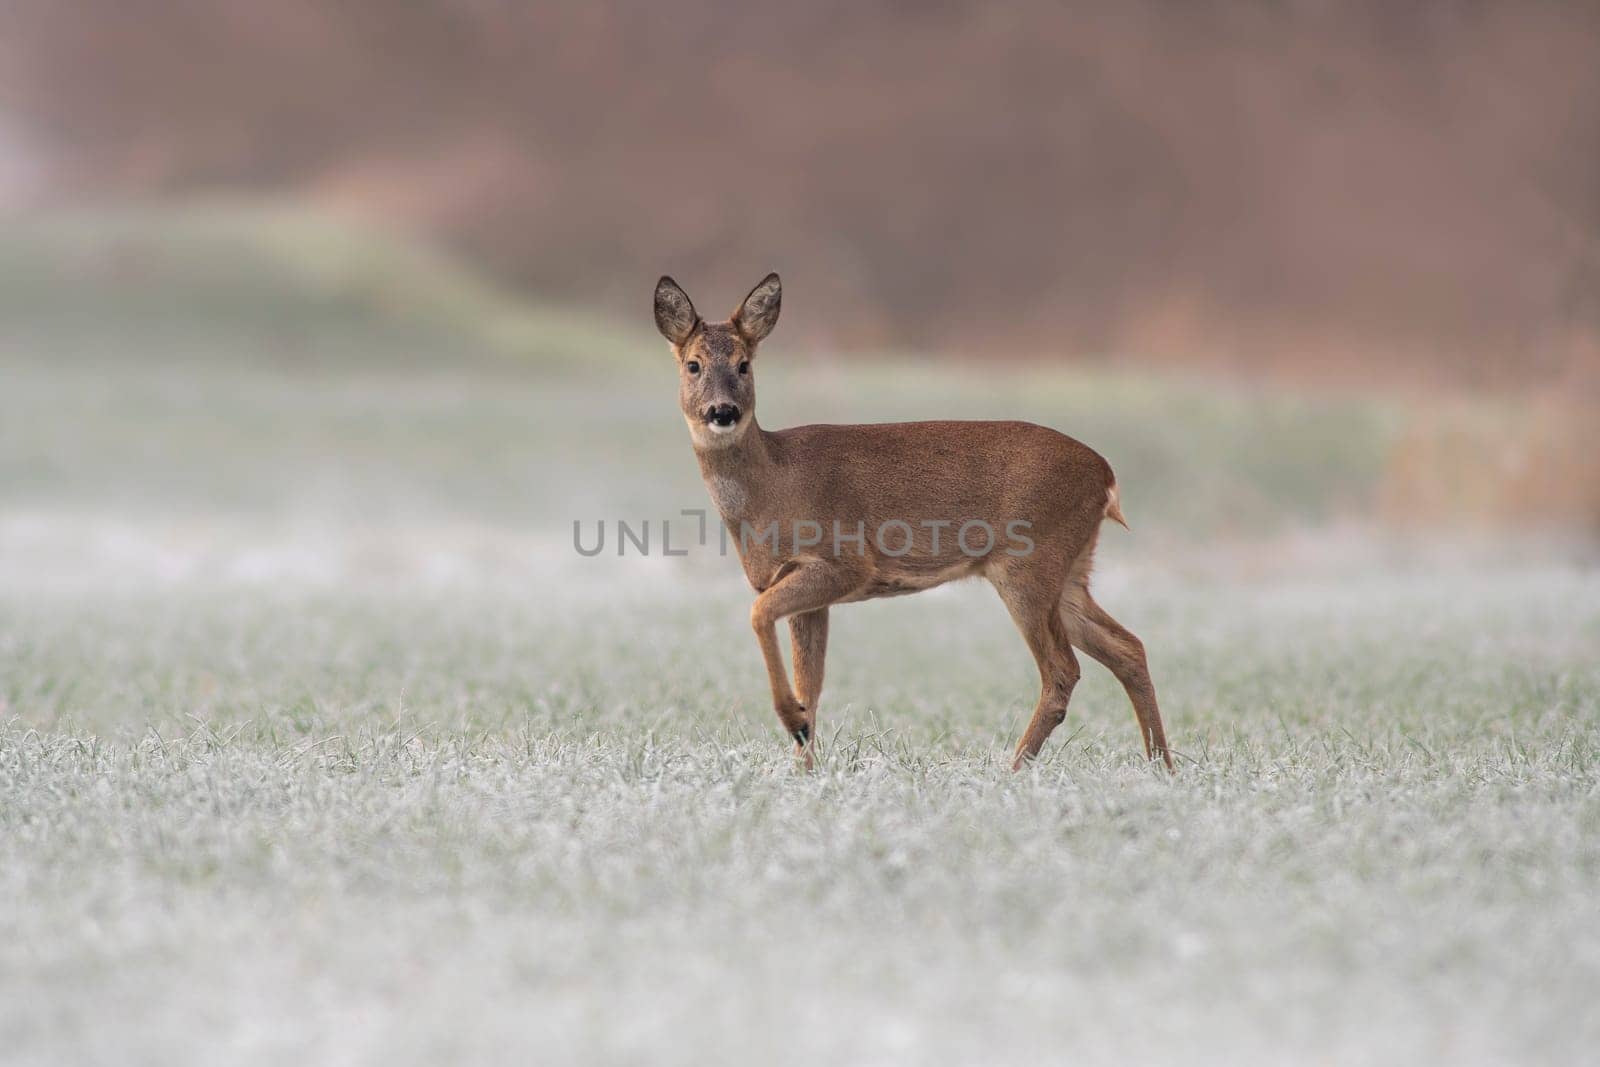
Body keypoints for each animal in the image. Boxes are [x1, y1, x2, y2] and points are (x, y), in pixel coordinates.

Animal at [652, 271, 1177, 771]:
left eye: (744, 364)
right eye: (693, 364)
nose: (723, 411)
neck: (771, 488)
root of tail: (1105, 475)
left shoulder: (843, 561)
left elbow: (759, 614)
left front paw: (791, 723)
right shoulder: (804, 590)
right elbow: (812, 685)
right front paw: (803, 765)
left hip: (1028, 563)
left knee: (1063, 670)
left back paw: (1013, 770)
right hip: (1070, 570)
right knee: (1129, 647)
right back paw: (1162, 769)